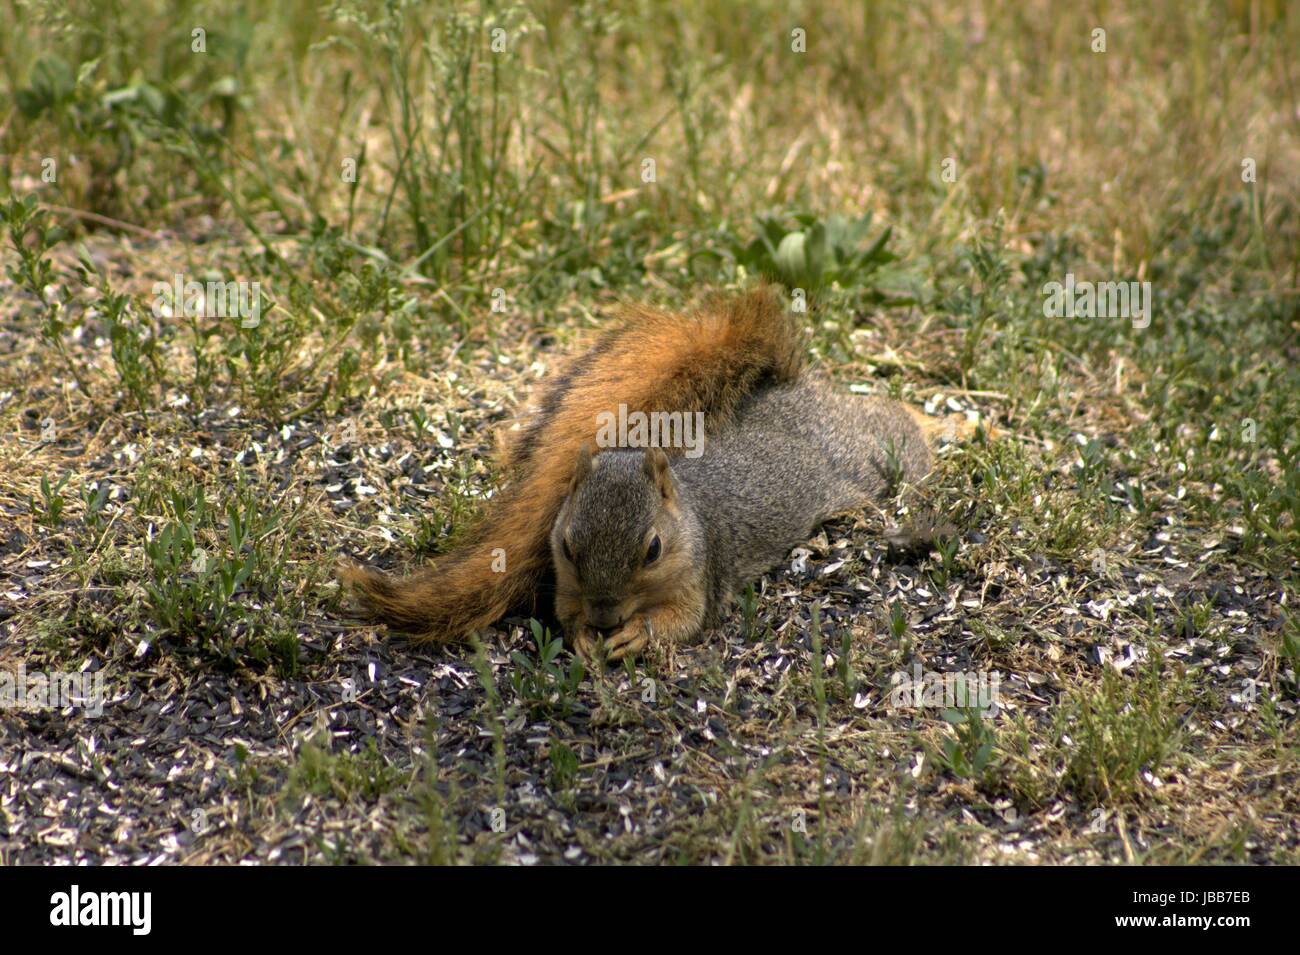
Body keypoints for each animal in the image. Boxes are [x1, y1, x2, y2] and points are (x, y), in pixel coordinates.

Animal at [548, 376, 956, 660]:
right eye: (566, 546)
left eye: (654, 550)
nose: (604, 618)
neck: (689, 510)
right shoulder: (566, 585)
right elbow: (565, 612)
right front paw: (582, 633)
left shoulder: (700, 575)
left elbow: (684, 620)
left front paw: (638, 631)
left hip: (871, 459)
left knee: (898, 421)